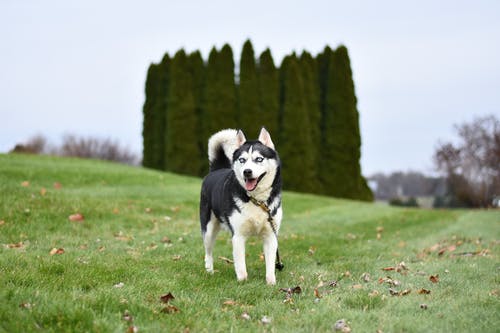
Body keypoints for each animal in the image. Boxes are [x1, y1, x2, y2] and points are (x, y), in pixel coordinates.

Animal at [200, 128, 286, 284]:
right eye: (242, 160)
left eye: (259, 159)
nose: (247, 171)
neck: (257, 200)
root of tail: (216, 170)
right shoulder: (238, 236)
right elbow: (241, 267)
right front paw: (242, 282)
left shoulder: (271, 235)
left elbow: (270, 266)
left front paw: (271, 283)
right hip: (208, 230)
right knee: (208, 252)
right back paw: (209, 271)